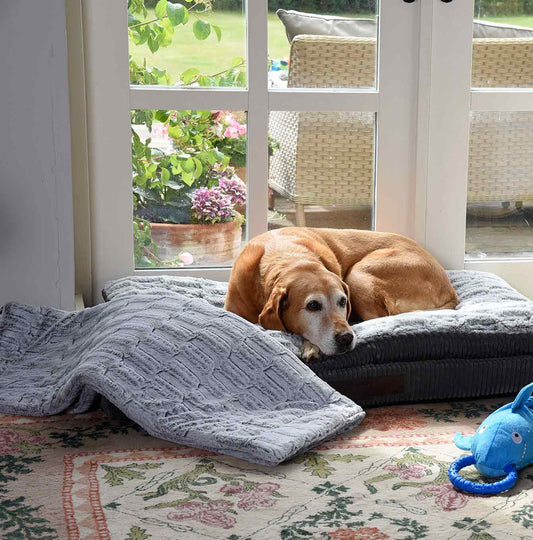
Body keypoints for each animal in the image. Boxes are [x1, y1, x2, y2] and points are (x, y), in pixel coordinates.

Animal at [225, 227, 458, 361]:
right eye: (313, 306)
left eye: (343, 302)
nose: (346, 338)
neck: (285, 256)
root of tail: (449, 289)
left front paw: (311, 347)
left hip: (358, 274)